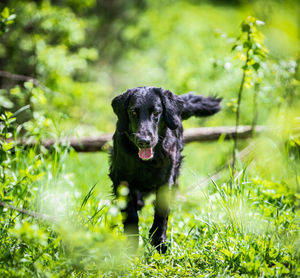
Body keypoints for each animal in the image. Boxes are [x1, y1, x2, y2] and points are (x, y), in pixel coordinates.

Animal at [109, 86, 220, 252]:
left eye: (156, 113)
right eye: (133, 112)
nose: (144, 141)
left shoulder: (167, 179)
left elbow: (161, 212)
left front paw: (159, 242)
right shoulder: (120, 178)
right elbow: (130, 213)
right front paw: (131, 245)